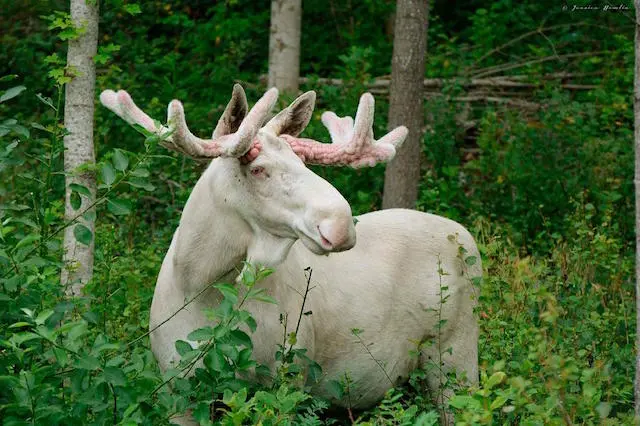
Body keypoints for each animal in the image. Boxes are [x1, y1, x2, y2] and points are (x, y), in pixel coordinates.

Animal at [100, 85, 481, 424]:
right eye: (257, 169)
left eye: (303, 162)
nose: (341, 224)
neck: (198, 285)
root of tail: (467, 238)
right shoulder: (177, 389)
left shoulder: (285, 379)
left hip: (456, 358)